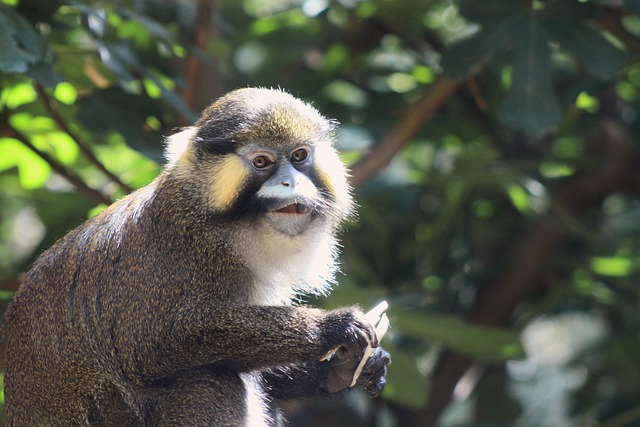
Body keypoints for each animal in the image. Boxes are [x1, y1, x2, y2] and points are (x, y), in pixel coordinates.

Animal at [2, 87, 390, 426]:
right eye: (262, 162)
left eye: (299, 156)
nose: (289, 183)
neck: (224, 223)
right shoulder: (189, 256)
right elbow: (156, 345)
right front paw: (329, 328)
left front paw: (338, 371)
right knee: (211, 380)